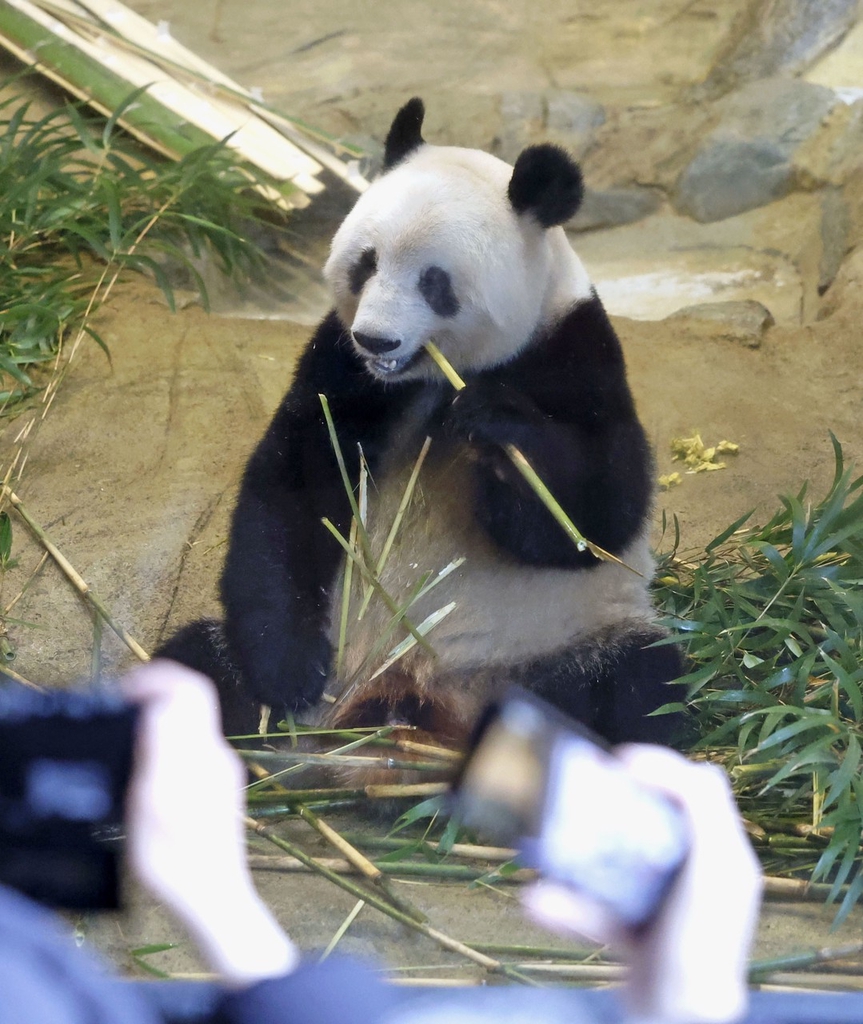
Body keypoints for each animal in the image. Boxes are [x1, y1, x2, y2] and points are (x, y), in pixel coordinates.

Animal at [160, 97, 679, 753]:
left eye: (435, 282)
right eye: (366, 263)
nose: (376, 340)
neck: (430, 377)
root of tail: (407, 699)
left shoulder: (574, 352)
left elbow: (599, 513)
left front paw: (498, 427)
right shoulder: (339, 367)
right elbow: (293, 488)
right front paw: (289, 670)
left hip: (554, 643)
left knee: (635, 687)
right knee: (196, 663)